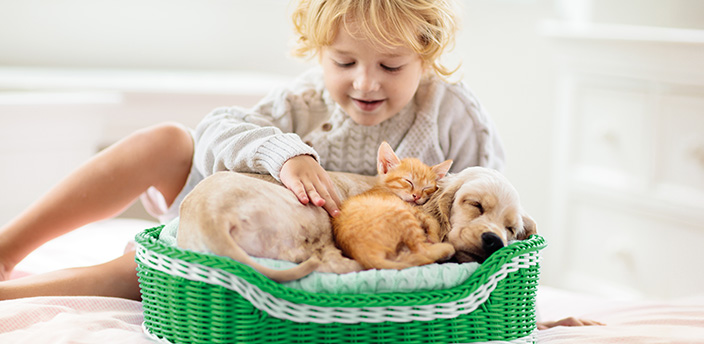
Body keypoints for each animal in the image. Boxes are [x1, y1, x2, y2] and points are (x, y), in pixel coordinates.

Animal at [177, 167, 540, 282]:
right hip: (317, 217)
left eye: (511, 229)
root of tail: (210, 215)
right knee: (331, 263)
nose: (494, 240)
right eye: (475, 205)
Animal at [332, 141, 456, 270]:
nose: (416, 196)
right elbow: (433, 221)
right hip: (403, 216)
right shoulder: (409, 208)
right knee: (422, 250)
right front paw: (434, 237)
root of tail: (362, 253)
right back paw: (445, 248)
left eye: (426, 188)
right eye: (408, 181)